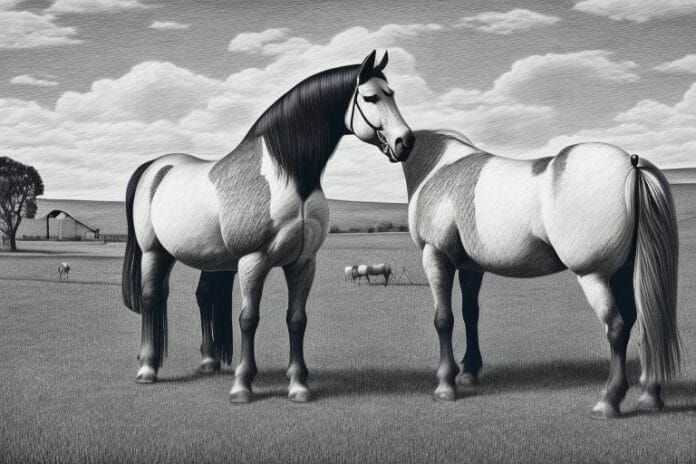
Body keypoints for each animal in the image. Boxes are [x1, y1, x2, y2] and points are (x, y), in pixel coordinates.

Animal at [121, 50, 415, 403]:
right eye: (370, 97)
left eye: (392, 94)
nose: (405, 141)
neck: (287, 175)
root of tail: (156, 167)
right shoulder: (253, 261)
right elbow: (249, 319)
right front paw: (242, 386)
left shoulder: (303, 262)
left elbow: (297, 319)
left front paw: (298, 385)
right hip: (154, 252)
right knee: (151, 299)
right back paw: (147, 369)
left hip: (205, 258)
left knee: (202, 296)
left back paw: (208, 362)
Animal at [402, 129, 680, 419]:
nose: (400, 143)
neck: (440, 165)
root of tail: (632, 165)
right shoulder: (471, 268)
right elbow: (470, 314)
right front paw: (469, 372)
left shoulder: (436, 255)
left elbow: (443, 320)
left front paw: (446, 385)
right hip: (623, 273)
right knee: (644, 320)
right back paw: (650, 396)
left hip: (594, 276)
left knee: (616, 328)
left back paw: (608, 401)